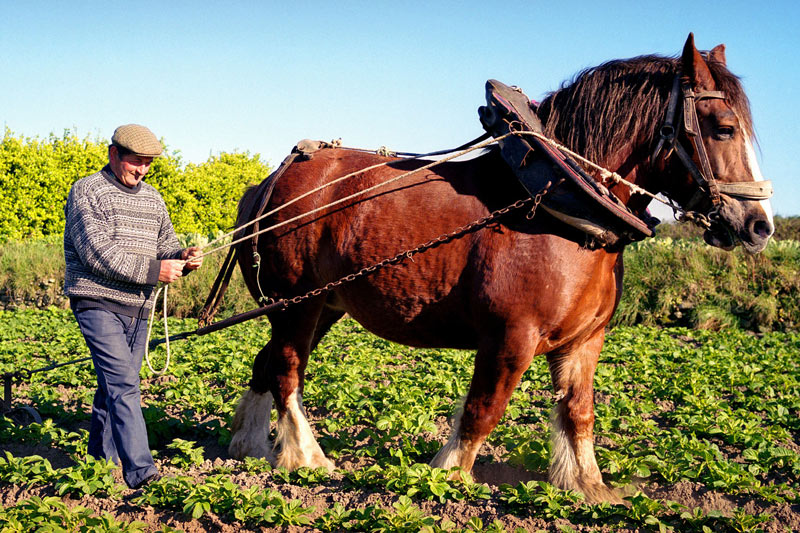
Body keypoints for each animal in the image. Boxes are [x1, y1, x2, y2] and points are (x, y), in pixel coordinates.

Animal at [227, 35, 776, 500]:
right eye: (723, 128)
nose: (759, 226)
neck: (560, 202)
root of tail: (269, 183)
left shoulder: (585, 340)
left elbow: (578, 412)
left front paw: (588, 487)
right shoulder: (511, 337)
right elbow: (482, 411)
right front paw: (447, 478)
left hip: (321, 307)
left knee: (266, 363)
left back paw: (247, 447)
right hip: (295, 305)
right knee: (286, 372)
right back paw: (306, 458)